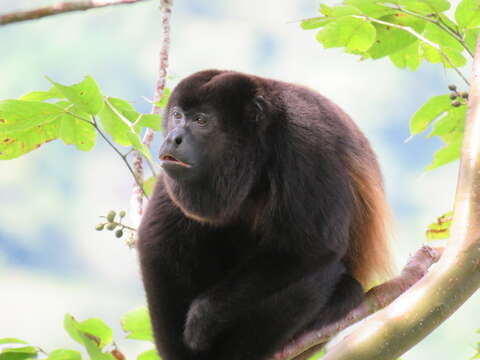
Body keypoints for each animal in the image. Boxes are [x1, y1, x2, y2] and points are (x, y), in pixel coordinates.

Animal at [137, 69, 392, 360]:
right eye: (177, 116)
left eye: (202, 120)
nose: (173, 137)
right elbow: (155, 240)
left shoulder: (307, 139)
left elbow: (313, 246)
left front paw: (203, 316)